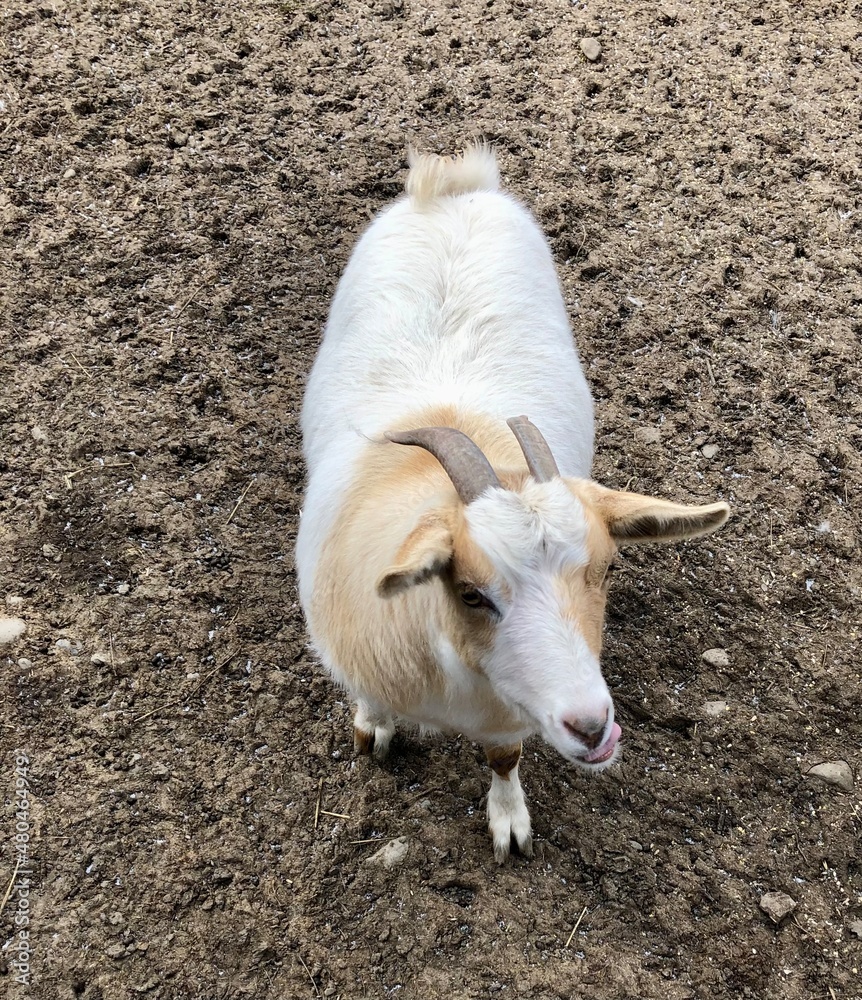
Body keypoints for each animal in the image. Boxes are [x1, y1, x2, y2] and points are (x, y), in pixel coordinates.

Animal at [295, 143, 729, 862]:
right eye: (471, 593)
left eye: (606, 568)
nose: (592, 727)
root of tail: (451, 186)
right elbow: (369, 704)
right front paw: (372, 730)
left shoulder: (508, 715)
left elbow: (503, 761)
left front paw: (509, 823)